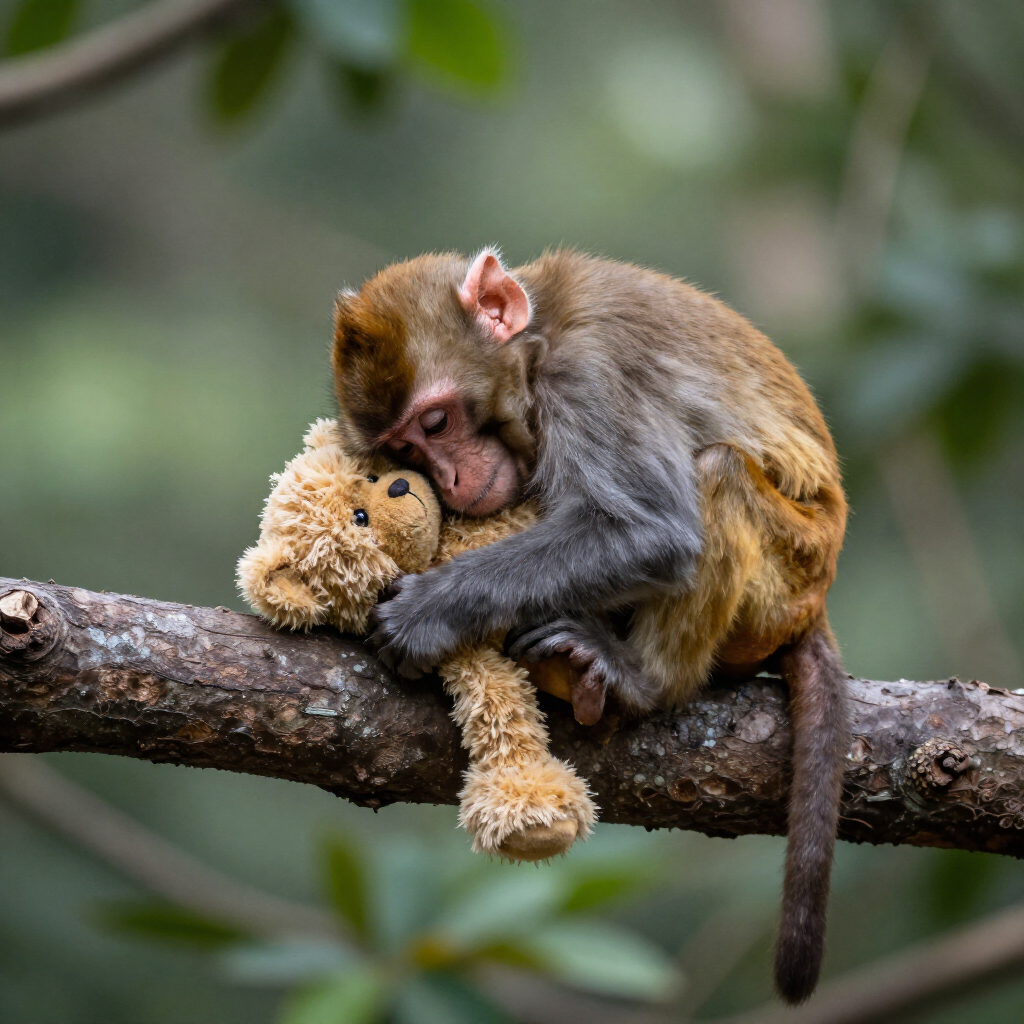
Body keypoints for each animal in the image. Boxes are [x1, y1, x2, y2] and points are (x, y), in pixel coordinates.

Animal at [330, 247, 849, 1005]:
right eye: (408, 450)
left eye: (437, 425)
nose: (449, 481)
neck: (540, 346)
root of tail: (816, 598)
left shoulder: (591, 377)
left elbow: (652, 531)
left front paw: (428, 612)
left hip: (785, 576)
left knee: (720, 471)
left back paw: (643, 680)